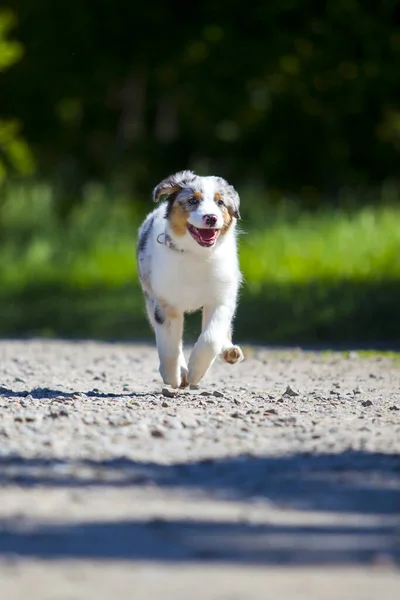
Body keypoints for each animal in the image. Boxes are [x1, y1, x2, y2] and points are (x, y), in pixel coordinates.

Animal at [138, 171, 244, 390]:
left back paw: (229, 351)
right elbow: (169, 347)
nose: (211, 218)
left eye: (220, 202)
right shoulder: (165, 304)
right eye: (193, 200)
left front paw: (196, 373)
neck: (196, 255)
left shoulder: (221, 298)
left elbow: (211, 338)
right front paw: (173, 376)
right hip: (149, 297)